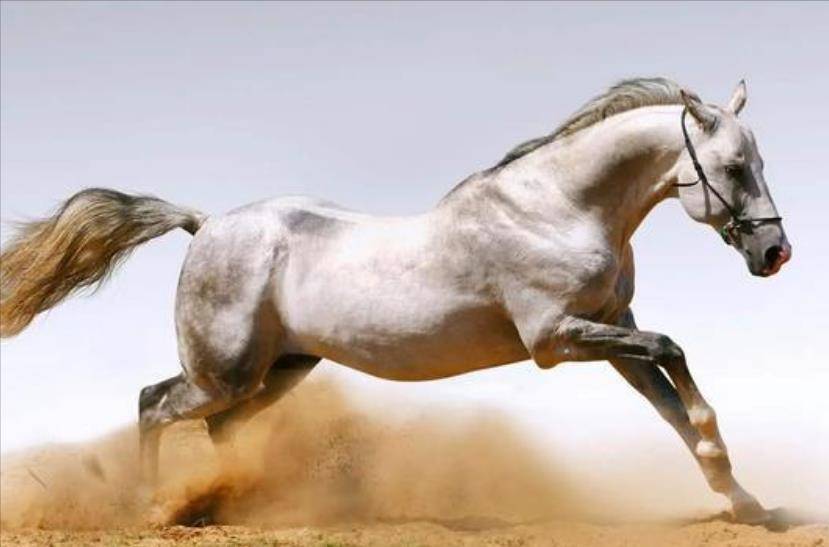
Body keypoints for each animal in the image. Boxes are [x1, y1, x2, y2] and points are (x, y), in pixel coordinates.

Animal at [0, 78, 791, 523]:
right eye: (731, 167)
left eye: (759, 161)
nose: (774, 254)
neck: (559, 207)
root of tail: (206, 224)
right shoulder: (556, 339)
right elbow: (672, 352)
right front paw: (731, 477)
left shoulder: (608, 327)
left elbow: (670, 403)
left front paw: (745, 501)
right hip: (223, 371)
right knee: (151, 403)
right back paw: (151, 507)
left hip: (279, 370)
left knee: (219, 428)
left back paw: (230, 503)